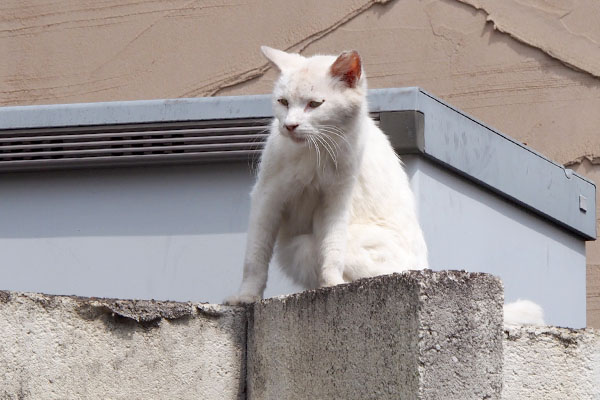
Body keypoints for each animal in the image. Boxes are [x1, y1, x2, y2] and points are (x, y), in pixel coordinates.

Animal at [224, 45, 426, 304]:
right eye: (283, 102)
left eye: (314, 104)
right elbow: (255, 257)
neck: (313, 151)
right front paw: (247, 296)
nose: (289, 126)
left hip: (305, 246)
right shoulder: (267, 196)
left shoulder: (337, 200)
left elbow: (332, 248)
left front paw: (332, 286)